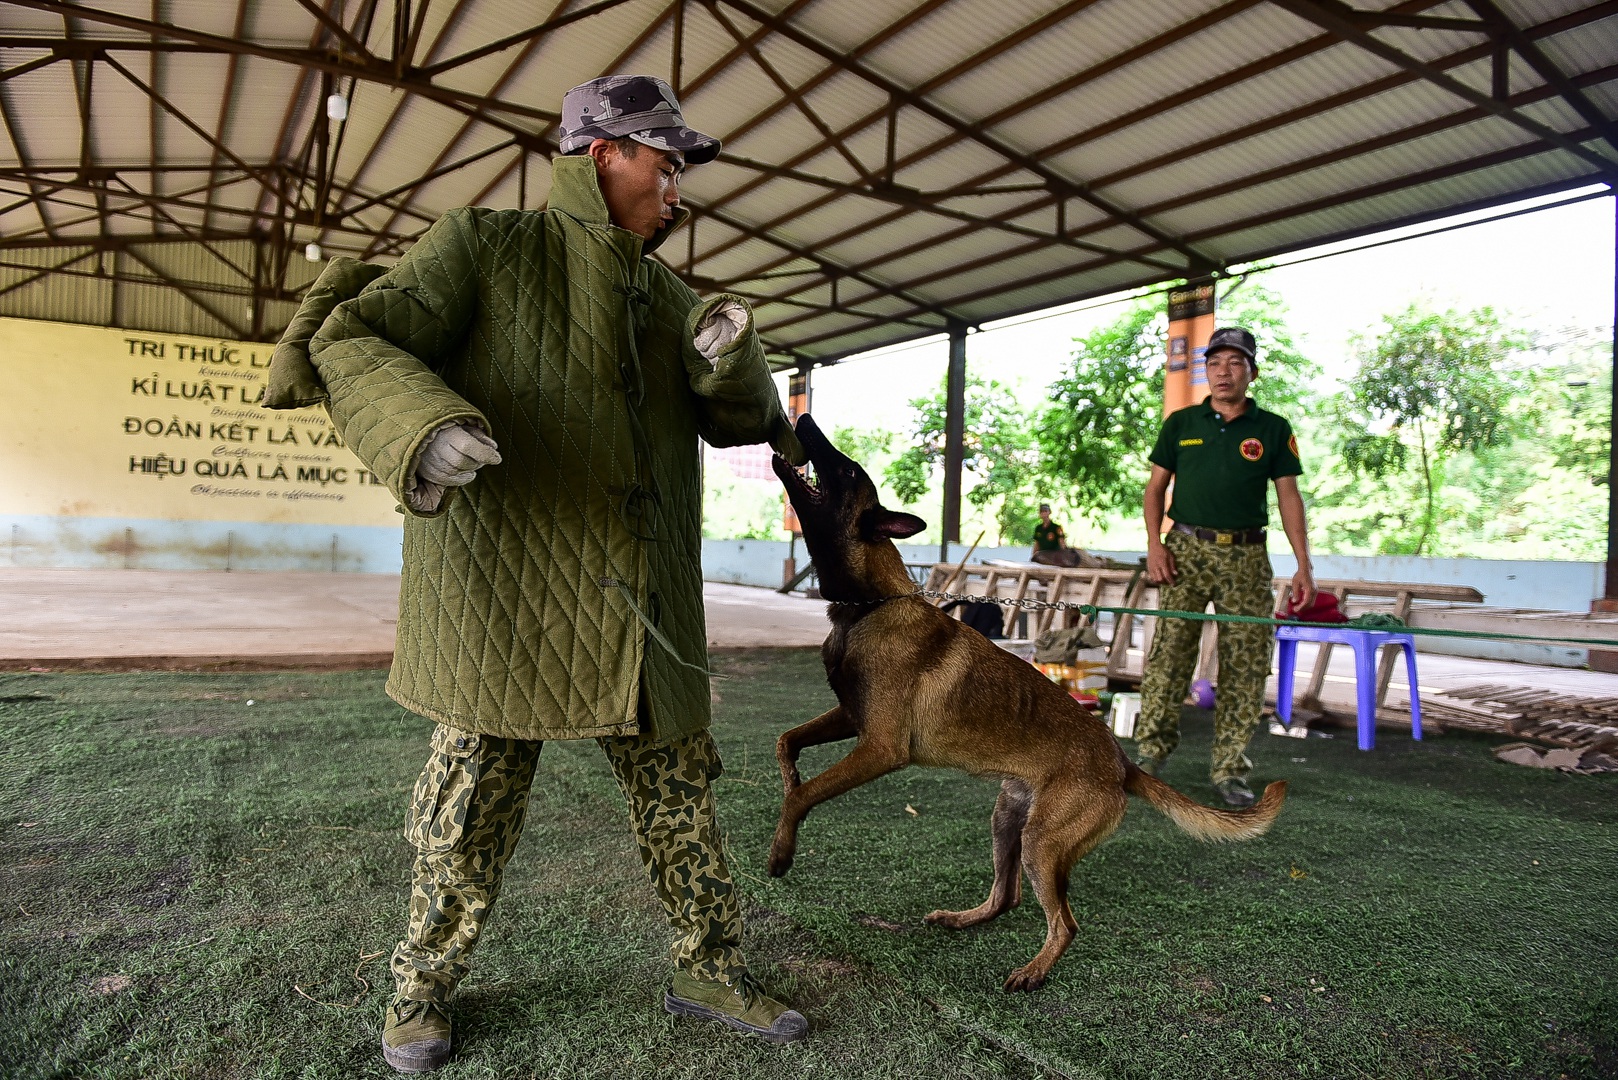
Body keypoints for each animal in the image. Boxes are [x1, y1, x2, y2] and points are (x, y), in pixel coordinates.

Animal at [770, 417, 1287, 990]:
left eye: (846, 471)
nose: (803, 421)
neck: (868, 606)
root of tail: (1122, 764)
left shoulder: (879, 748)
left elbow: (806, 793)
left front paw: (781, 850)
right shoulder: (850, 718)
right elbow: (786, 743)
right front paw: (787, 791)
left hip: (1042, 840)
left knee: (1065, 922)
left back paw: (1033, 972)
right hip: (1008, 819)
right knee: (1007, 895)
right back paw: (964, 919)